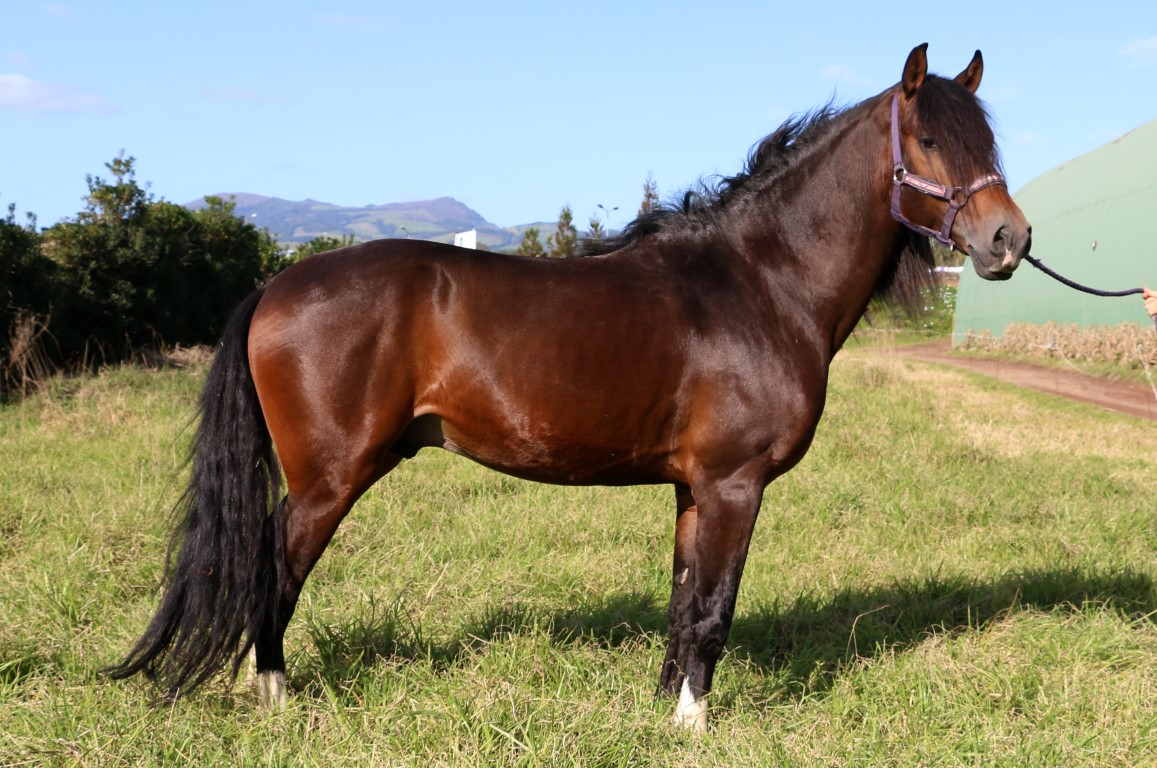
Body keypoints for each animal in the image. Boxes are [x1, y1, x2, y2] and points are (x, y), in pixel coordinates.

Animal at [107, 44, 1031, 731]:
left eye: (987, 143)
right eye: (927, 141)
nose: (1007, 239)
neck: (761, 283)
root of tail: (277, 284)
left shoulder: (693, 489)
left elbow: (683, 604)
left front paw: (663, 715)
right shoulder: (735, 486)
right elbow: (715, 607)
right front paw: (695, 728)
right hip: (328, 480)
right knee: (274, 571)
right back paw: (274, 701)